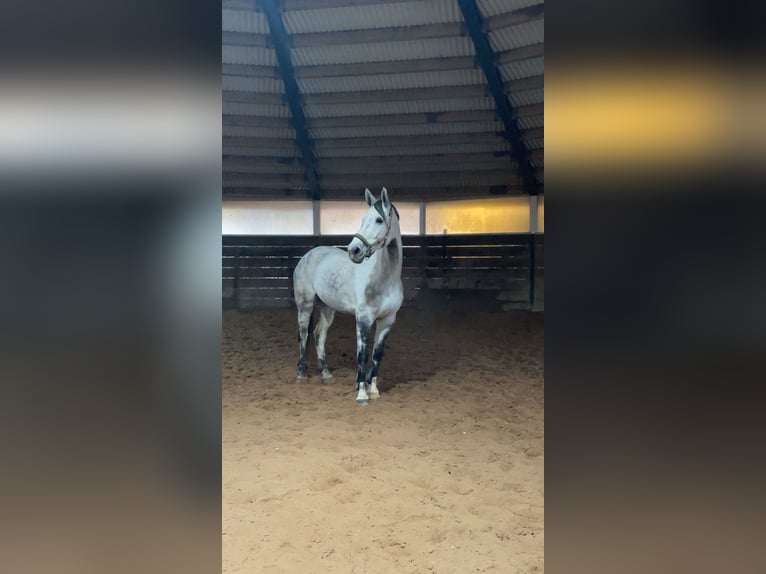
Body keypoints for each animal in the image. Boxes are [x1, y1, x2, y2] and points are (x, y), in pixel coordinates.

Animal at [292, 187, 403, 405]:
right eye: (363, 218)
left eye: (379, 220)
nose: (354, 250)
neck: (386, 279)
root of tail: (308, 256)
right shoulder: (363, 318)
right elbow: (362, 355)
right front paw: (361, 395)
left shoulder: (388, 320)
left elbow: (377, 355)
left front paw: (374, 390)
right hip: (305, 305)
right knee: (303, 334)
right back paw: (302, 374)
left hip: (327, 308)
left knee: (319, 334)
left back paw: (326, 375)